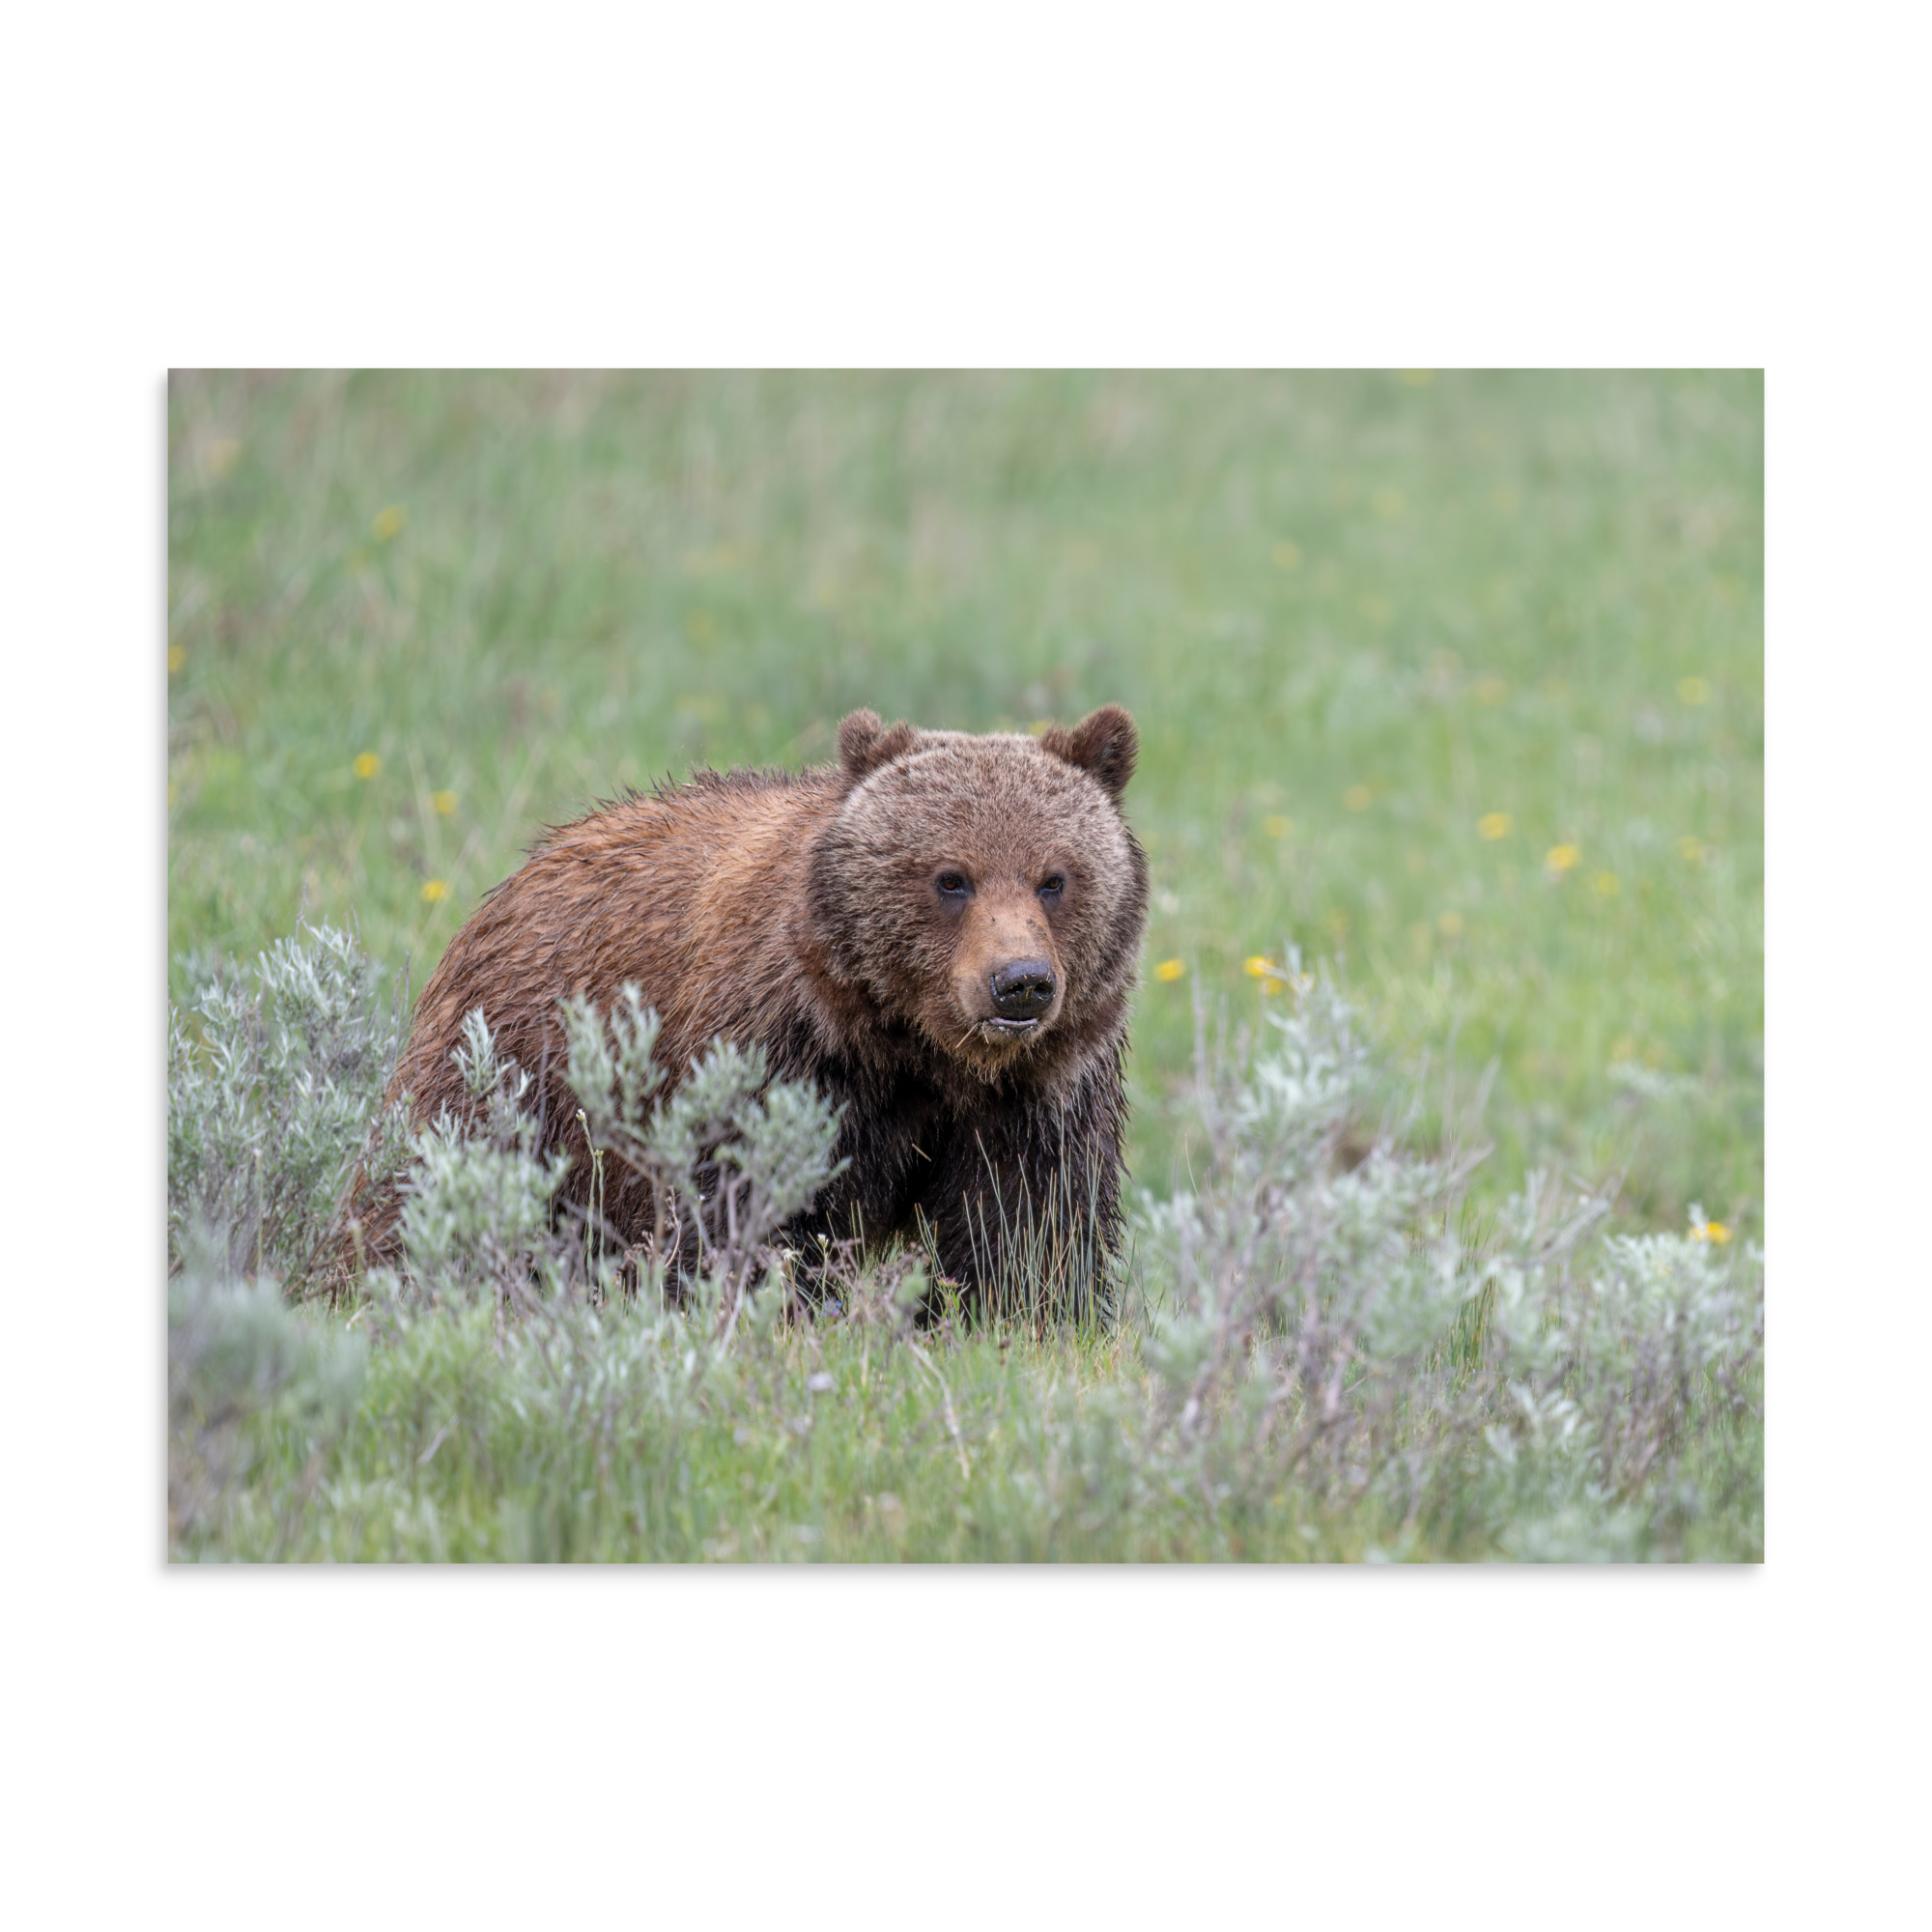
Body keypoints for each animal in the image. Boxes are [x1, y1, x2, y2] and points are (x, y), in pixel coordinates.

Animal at [359, 704, 1149, 1311]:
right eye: (950, 878)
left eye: (1054, 878)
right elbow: (742, 1208)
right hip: (514, 1071)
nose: (1020, 982)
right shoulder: (779, 1054)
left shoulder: (1038, 1094)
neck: (918, 1050)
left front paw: (1018, 1317)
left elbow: (1028, 1229)